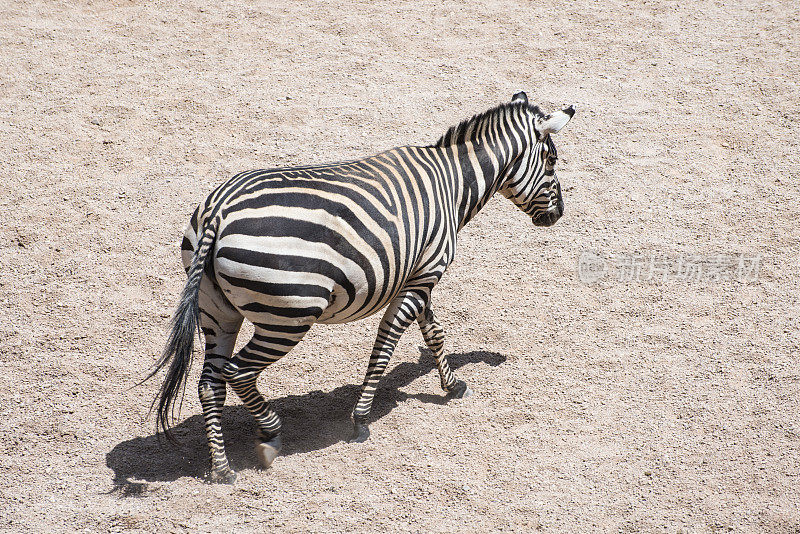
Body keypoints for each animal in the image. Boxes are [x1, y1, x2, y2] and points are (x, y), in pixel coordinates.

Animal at [147, 92, 576, 486]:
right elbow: (387, 343)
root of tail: (217, 211)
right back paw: (270, 433)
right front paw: (362, 419)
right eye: (552, 161)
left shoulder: (417, 274)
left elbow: (433, 332)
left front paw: (452, 386)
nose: (558, 216)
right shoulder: (425, 274)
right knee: (238, 372)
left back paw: (222, 469)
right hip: (287, 317)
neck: (452, 184)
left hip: (217, 311)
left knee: (209, 384)